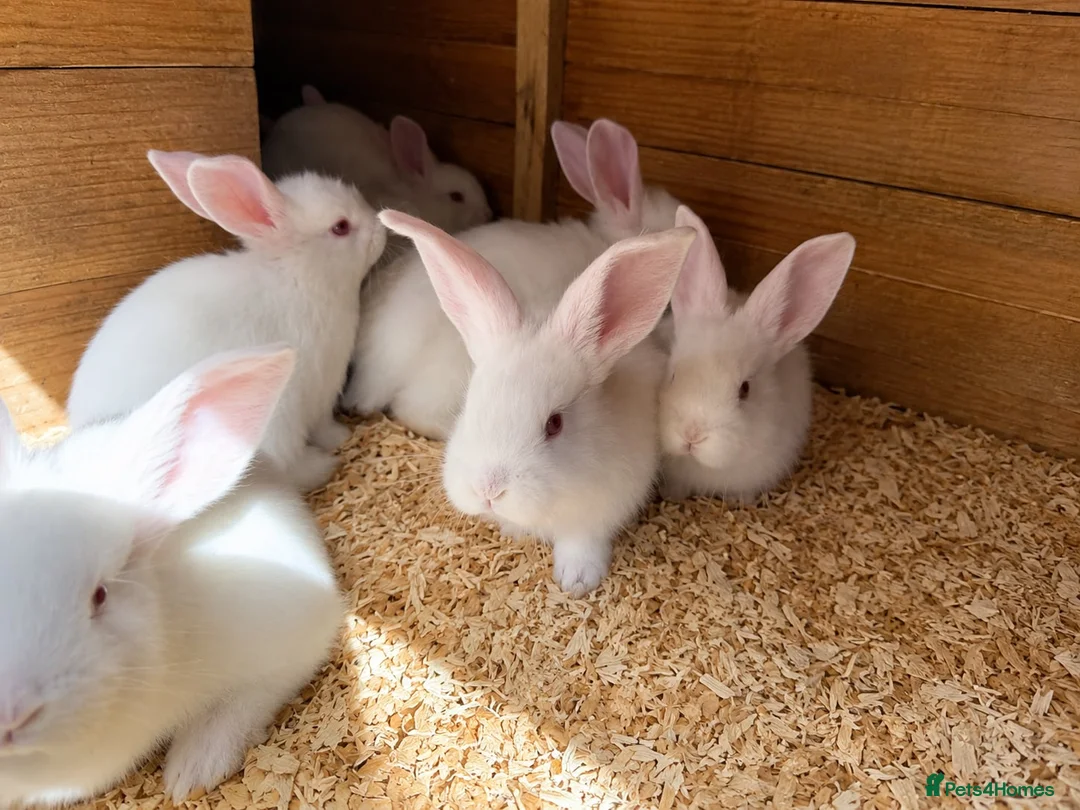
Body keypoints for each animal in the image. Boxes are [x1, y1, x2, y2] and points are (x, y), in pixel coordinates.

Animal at [66, 150, 386, 492]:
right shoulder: (321, 387)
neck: (299, 277)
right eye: (340, 226)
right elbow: (323, 425)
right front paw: (342, 436)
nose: (381, 228)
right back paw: (323, 465)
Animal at [379, 209, 697, 596]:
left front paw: (577, 582)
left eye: (554, 424)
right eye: (468, 405)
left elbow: (582, 542)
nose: (488, 490)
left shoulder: (599, 512)